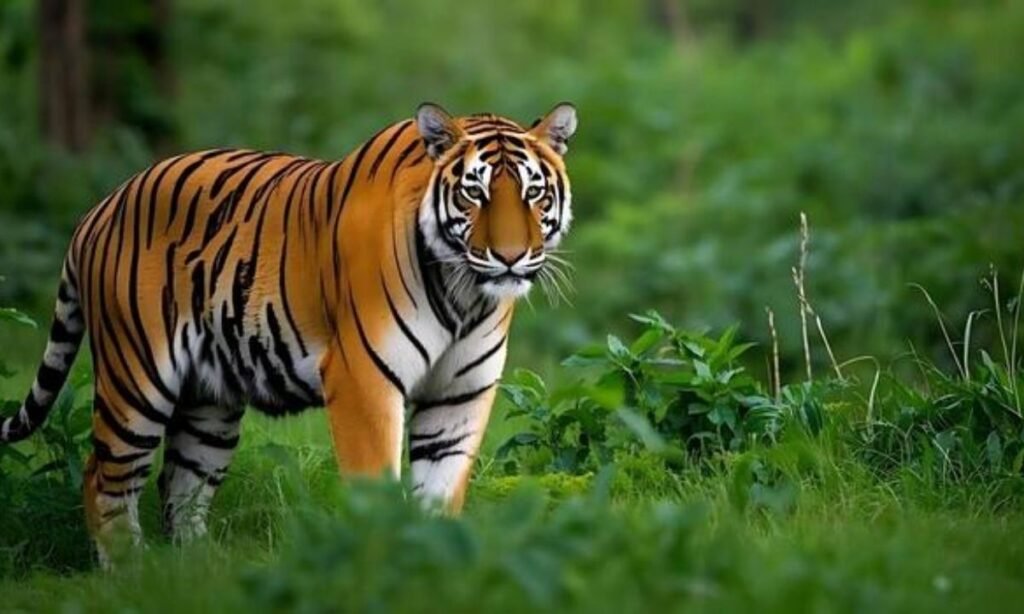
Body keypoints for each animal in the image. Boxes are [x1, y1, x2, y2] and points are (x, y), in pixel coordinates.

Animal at [0, 102, 578, 564]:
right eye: (474, 193)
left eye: (533, 193)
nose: (510, 257)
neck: (465, 296)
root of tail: (100, 207)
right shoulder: (363, 379)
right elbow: (376, 486)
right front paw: (383, 560)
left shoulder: (460, 394)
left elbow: (439, 493)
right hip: (137, 379)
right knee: (103, 477)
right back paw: (129, 572)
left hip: (210, 405)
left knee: (180, 483)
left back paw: (197, 572)